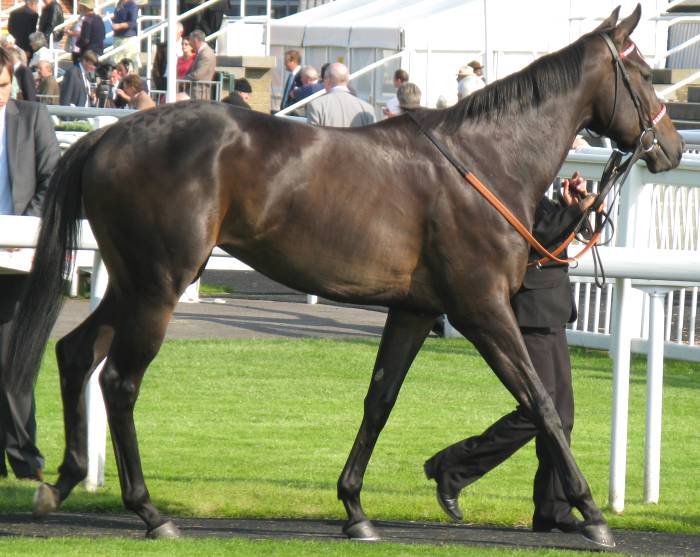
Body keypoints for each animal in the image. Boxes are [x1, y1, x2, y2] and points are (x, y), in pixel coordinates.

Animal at [5, 4, 682, 548]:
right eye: (645, 74)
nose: (672, 147)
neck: (485, 159)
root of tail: (109, 135)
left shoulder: (414, 309)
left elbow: (379, 401)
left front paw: (356, 508)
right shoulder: (481, 307)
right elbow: (540, 402)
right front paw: (592, 513)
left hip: (132, 281)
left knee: (73, 351)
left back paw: (62, 479)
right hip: (159, 285)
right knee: (118, 382)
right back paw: (149, 512)